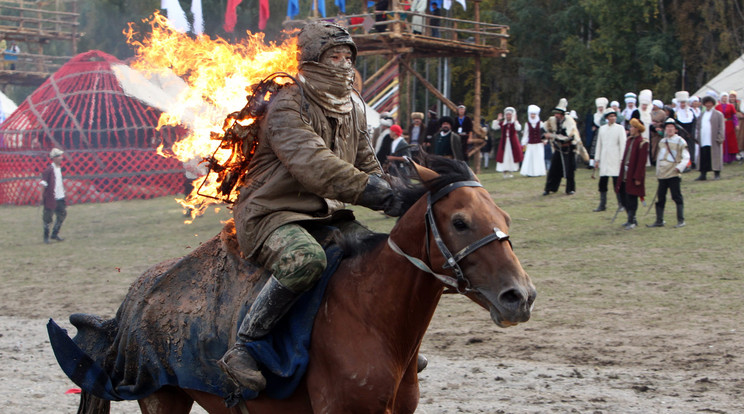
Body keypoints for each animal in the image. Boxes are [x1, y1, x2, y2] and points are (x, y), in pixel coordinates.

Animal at [64, 156, 536, 414]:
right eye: (460, 221)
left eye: (505, 218)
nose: (520, 296)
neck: (374, 321)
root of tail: (138, 295)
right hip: (162, 400)